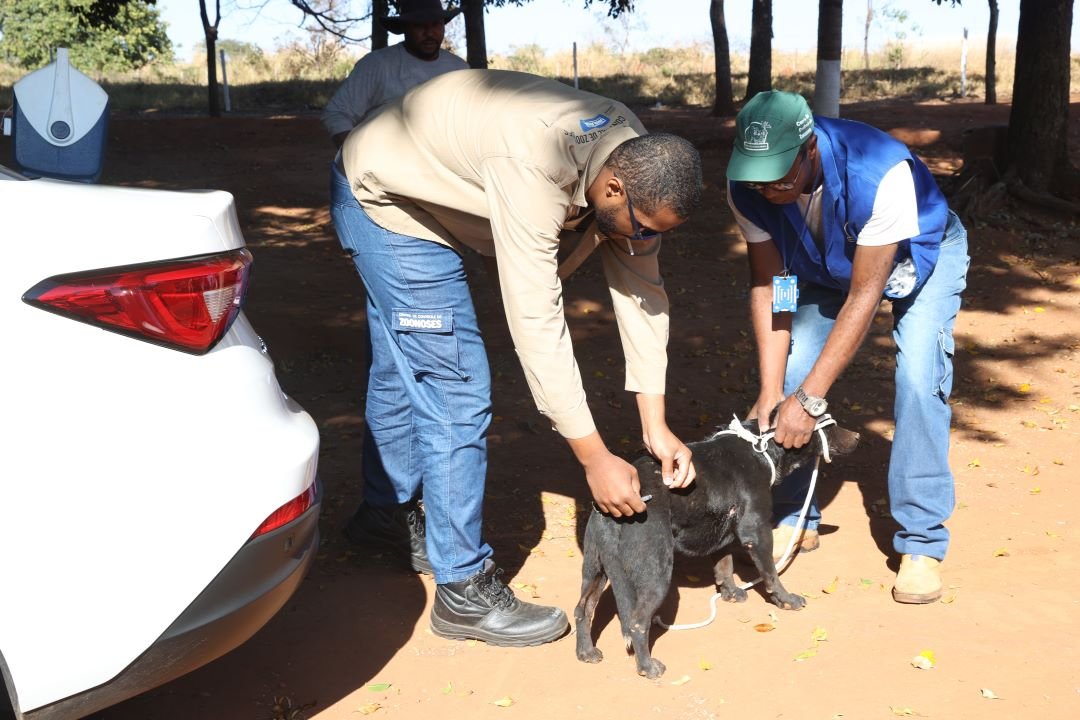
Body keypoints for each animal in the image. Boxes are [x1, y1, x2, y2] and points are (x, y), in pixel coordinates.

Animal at [574, 418, 859, 677]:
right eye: (828, 424)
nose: (857, 436)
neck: (761, 447)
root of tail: (610, 511)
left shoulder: (724, 533)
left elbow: (724, 566)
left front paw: (730, 593)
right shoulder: (756, 531)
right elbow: (770, 574)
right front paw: (786, 600)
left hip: (595, 570)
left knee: (582, 609)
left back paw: (586, 652)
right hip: (655, 572)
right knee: (636, 622)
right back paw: (647, 667)